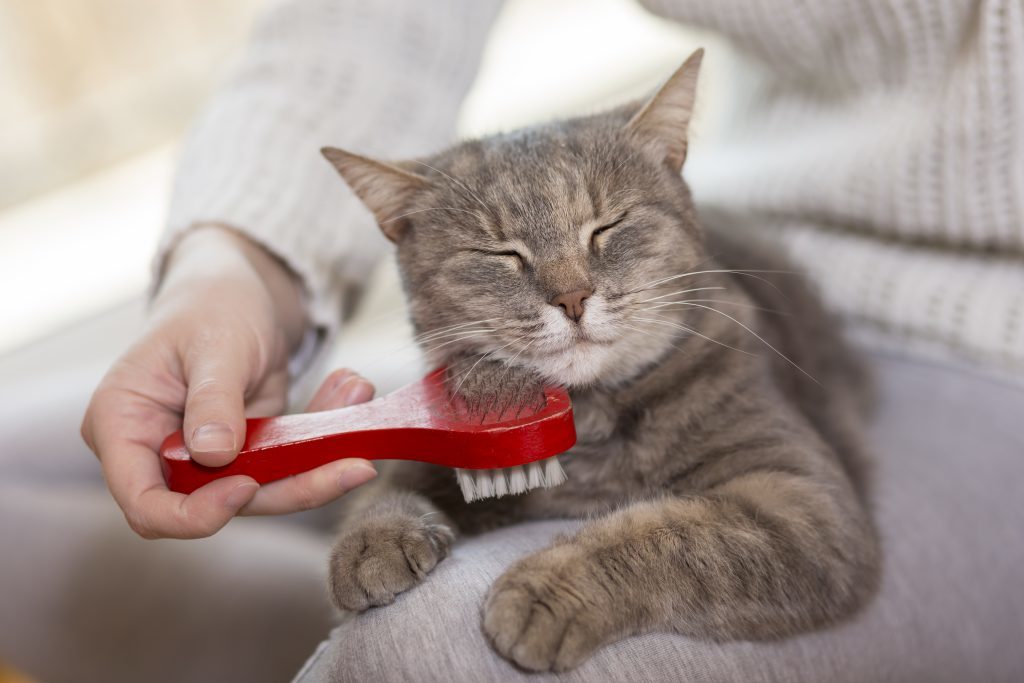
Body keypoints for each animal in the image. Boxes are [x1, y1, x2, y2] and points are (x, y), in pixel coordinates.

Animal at [319, 49, 880, 671]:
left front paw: (546, 590)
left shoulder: (802, 501)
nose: (572, 297)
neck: (586, 425)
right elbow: (400, 472)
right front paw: (371, 537)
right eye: (501, 253)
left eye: (607, 226)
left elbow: (672, 534)